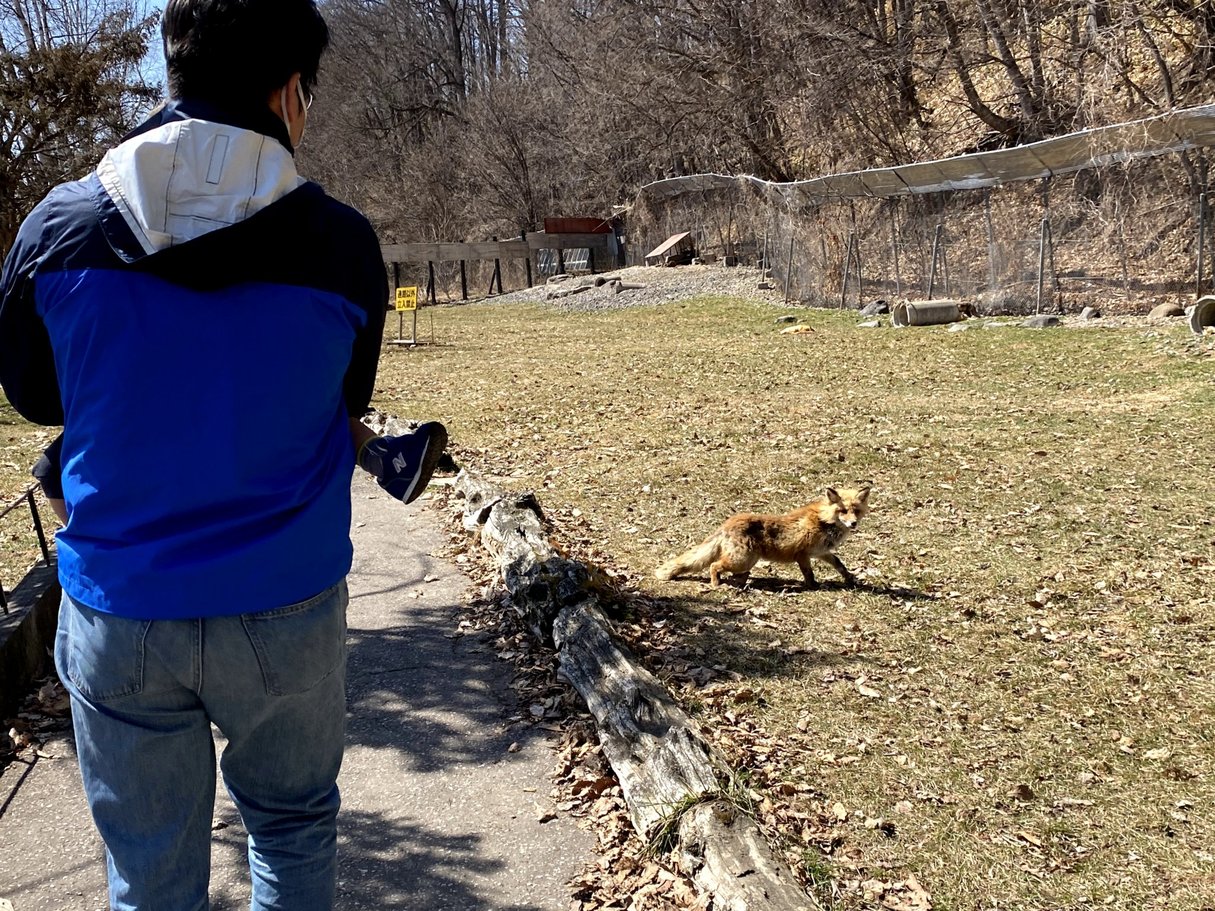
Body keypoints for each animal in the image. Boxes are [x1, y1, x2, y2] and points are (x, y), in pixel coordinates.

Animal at [654, 486, 871, 588]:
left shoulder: (822, 552)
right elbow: (809, 574)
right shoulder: (802, 554)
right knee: (714, 565)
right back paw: (716, 584)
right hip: (742, 559)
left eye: (856, 511)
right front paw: (813, 587)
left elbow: (840, 565)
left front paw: (850, 580)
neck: (823, 521)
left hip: (745, 562)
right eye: (843, 511)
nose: (853, 523)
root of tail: (727, 523)